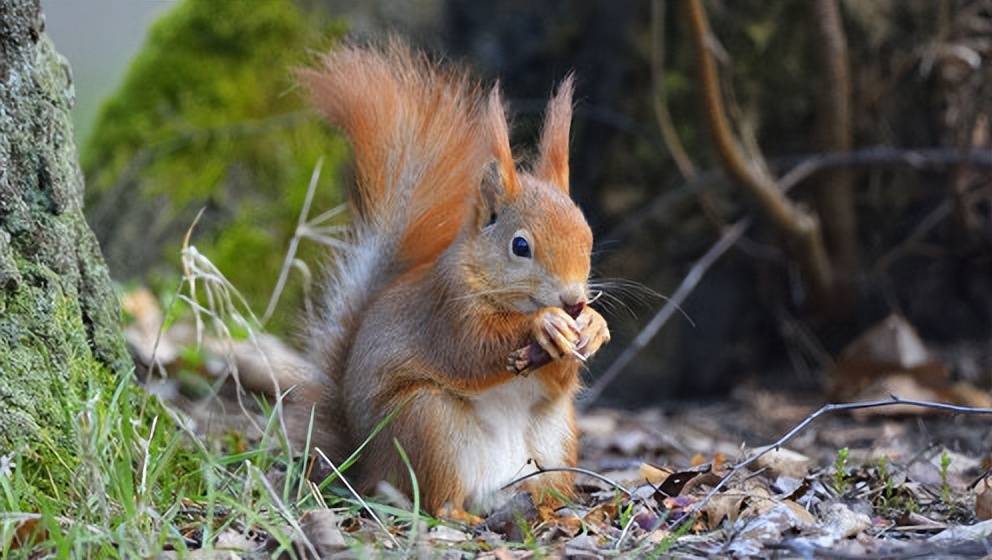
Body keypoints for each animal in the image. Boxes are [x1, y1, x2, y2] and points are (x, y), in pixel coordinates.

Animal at [282, 41, 612, 520]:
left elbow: (560, 377)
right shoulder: (446, 310)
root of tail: (365, 468)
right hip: (427, 423)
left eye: (588, 236)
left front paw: (594, 326)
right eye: (520, 246)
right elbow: (473, 350)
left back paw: (552, 506)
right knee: (437, 500)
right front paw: (544, 324)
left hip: (556, 435)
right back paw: (457, 513)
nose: (573, 302)